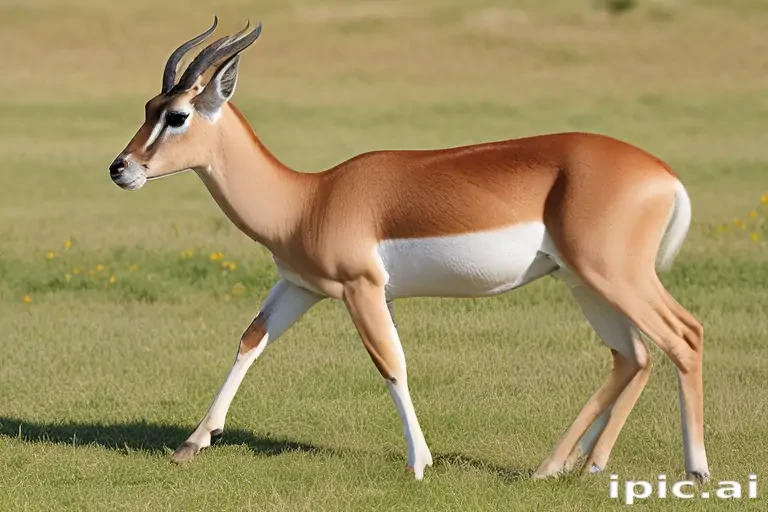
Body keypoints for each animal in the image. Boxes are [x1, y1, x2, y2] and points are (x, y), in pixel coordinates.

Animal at [108, 17, 710, 483]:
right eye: (149, 105)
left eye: (178, 115)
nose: (121, 168)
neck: (309, 199)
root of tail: (663, 173)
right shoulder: (300, 287)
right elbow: (250, 341)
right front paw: (191, 444)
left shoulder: (362, 289)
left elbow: (391, 364)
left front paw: (419, 464)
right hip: (582, 281)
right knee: (631, 356)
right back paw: (561, 467)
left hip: (616, 276)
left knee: (683, 335)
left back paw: (694, 470)